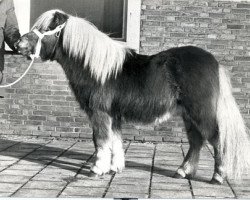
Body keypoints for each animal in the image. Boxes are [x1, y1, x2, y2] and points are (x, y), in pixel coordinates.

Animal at [16, 9, 250, 184]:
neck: (96, 69)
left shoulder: (99, 113)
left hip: (201, 112)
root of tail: (214, 63)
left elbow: (100, 140)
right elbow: (115, 140)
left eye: (47, 29)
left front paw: (96, 170)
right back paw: (182, 171)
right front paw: (115, 168)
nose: (19, 45)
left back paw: (218, 177)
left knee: (217, 139)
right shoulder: (113, 115)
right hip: (188, 115)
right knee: (196, 141)